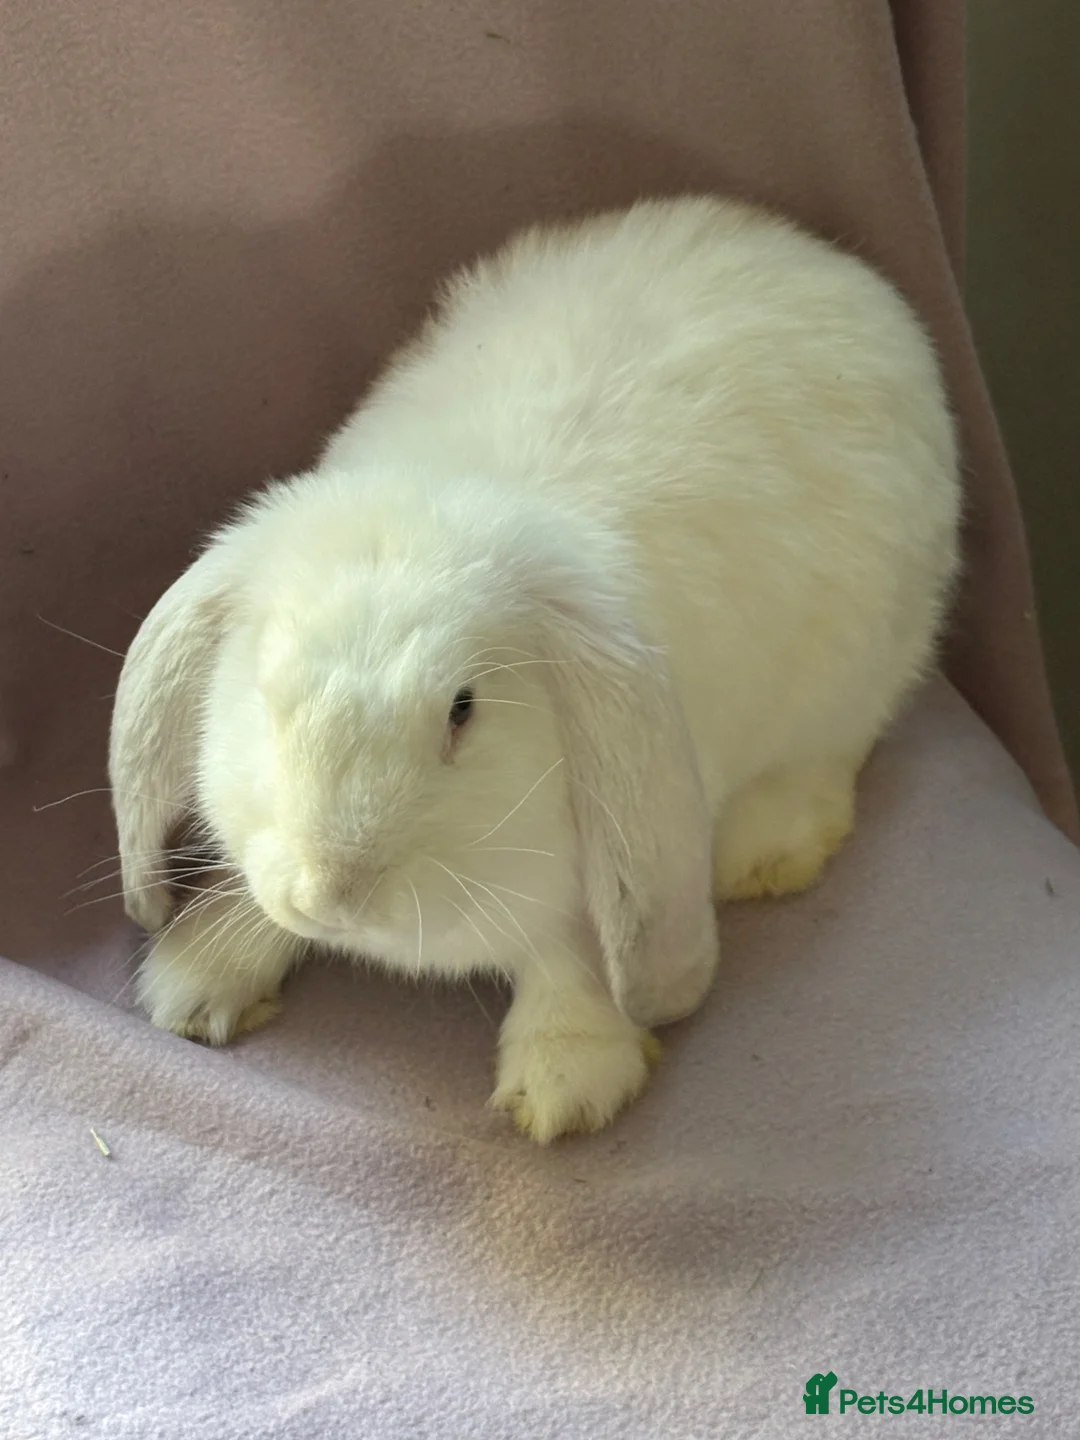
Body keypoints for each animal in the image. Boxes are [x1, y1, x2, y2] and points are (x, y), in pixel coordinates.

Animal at [110, 194, 960, 1142]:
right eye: (266, 694)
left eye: (462, 710)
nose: (335, 893)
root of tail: (821, 261)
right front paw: (199, 975)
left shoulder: (611, 845)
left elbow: (580, 953)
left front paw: (565, 1082)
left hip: (866, 660)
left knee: (831, 753)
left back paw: (765, 857)